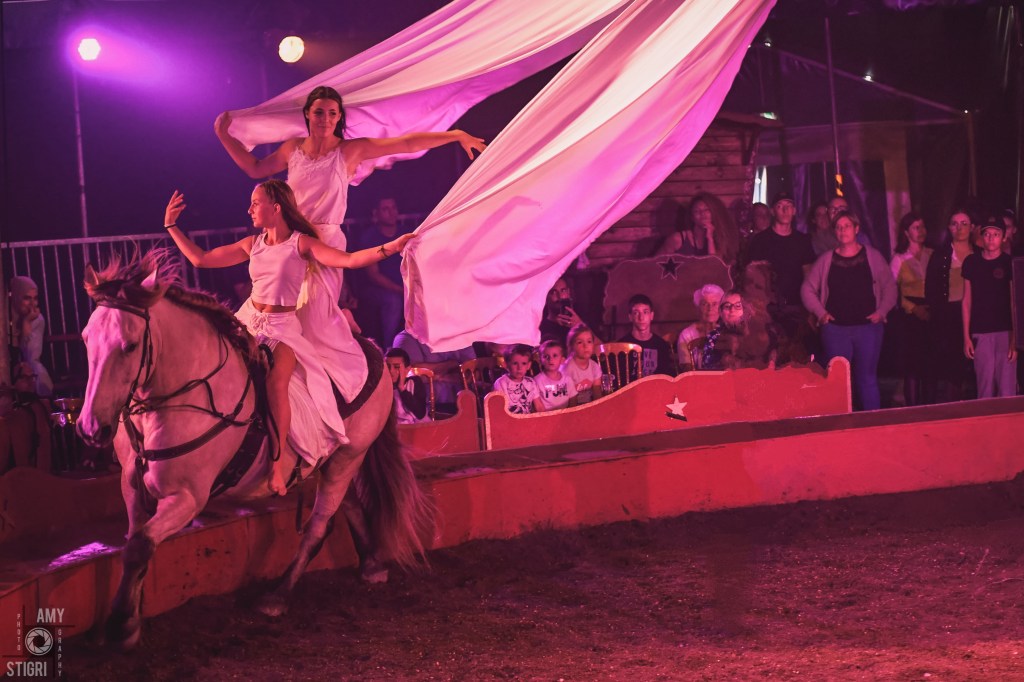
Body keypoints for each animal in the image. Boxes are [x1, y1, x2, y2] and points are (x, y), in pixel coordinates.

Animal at [77, 251, 431, 650]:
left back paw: (278, 595)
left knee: (318, 525)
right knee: (348, 506)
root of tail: (373, 351)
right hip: (331, 462)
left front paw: (121, 625)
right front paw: (131, 617)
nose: (91, 427)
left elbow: (139, 546)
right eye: (86, 339)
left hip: (348, 457)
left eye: (130, 345)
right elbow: (135, 546)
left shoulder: (187, 497)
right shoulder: (132, 485)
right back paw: (371, 563)